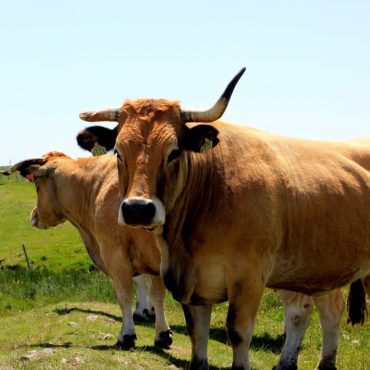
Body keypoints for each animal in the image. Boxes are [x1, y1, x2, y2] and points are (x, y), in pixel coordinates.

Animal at [1, 152, 172, 350]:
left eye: (37, 186)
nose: (33, 215)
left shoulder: (115, 254)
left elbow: (125, 295)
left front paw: (127, 336)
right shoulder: (152, 260)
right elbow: (158, 295)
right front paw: (162, 335)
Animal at [76, 67, 370, 370]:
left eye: (173, 151)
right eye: (119, 152)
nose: (137, 208)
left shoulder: (249, 277)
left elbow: (238, 331)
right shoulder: (190, 282)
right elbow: (197, 334)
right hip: (320, 271)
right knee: (329, 310)